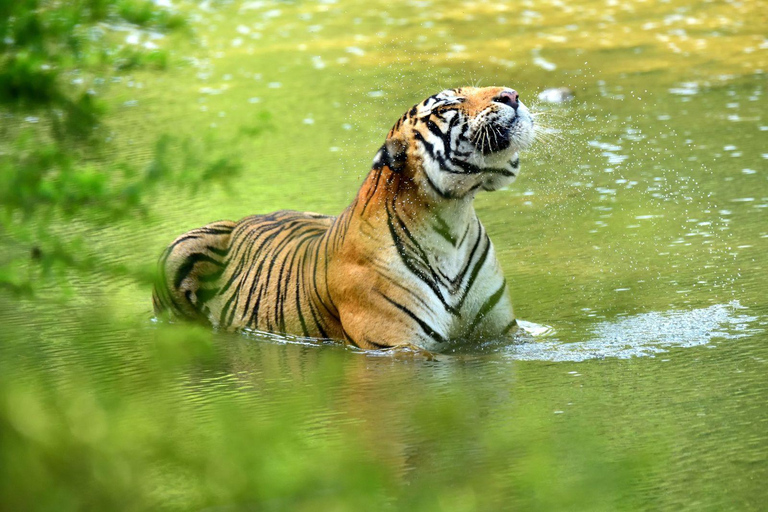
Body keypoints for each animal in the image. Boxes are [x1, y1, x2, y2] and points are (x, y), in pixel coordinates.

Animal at [152, 87, 536, 352]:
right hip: (179, 247)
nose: (512, 95)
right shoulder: (396, 345)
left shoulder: (504, 335)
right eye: (446, 106)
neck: (450, 220)